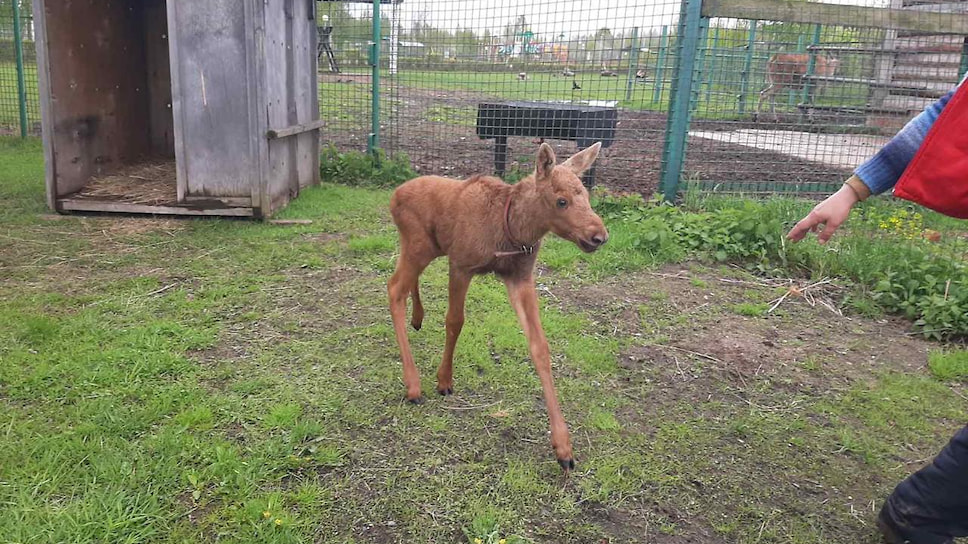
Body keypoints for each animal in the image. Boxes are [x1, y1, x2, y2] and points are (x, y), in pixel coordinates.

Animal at [388, 143, 608, 471]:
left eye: (586, 195)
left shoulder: (520, 277)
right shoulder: (461, 265)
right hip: (420, 246)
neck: (512, 230)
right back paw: (413, 384)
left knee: (405, 283)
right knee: (393, 289)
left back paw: (418, 318)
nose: (599, 236)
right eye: (562, 201)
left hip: (428, 248)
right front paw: (444, 379)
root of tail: (393, 196)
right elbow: (455, 321)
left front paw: (563, 447)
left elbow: (540, 346)